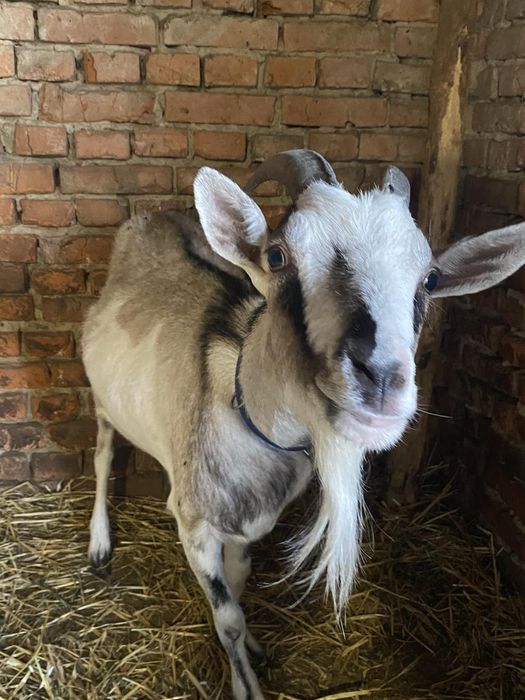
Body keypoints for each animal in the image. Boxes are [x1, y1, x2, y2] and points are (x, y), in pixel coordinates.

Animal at [82, 149, 525, 700]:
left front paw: (254, 650)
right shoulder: (194, 523)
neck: (241, 409)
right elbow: (226, 616)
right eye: (277, 256)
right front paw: (245, 683)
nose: (381, 379)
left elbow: (239, 589)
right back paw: (99, 543)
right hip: (102, 399)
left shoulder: (249, 526)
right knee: (102, 455)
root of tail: (152, 220)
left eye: (431, 279)